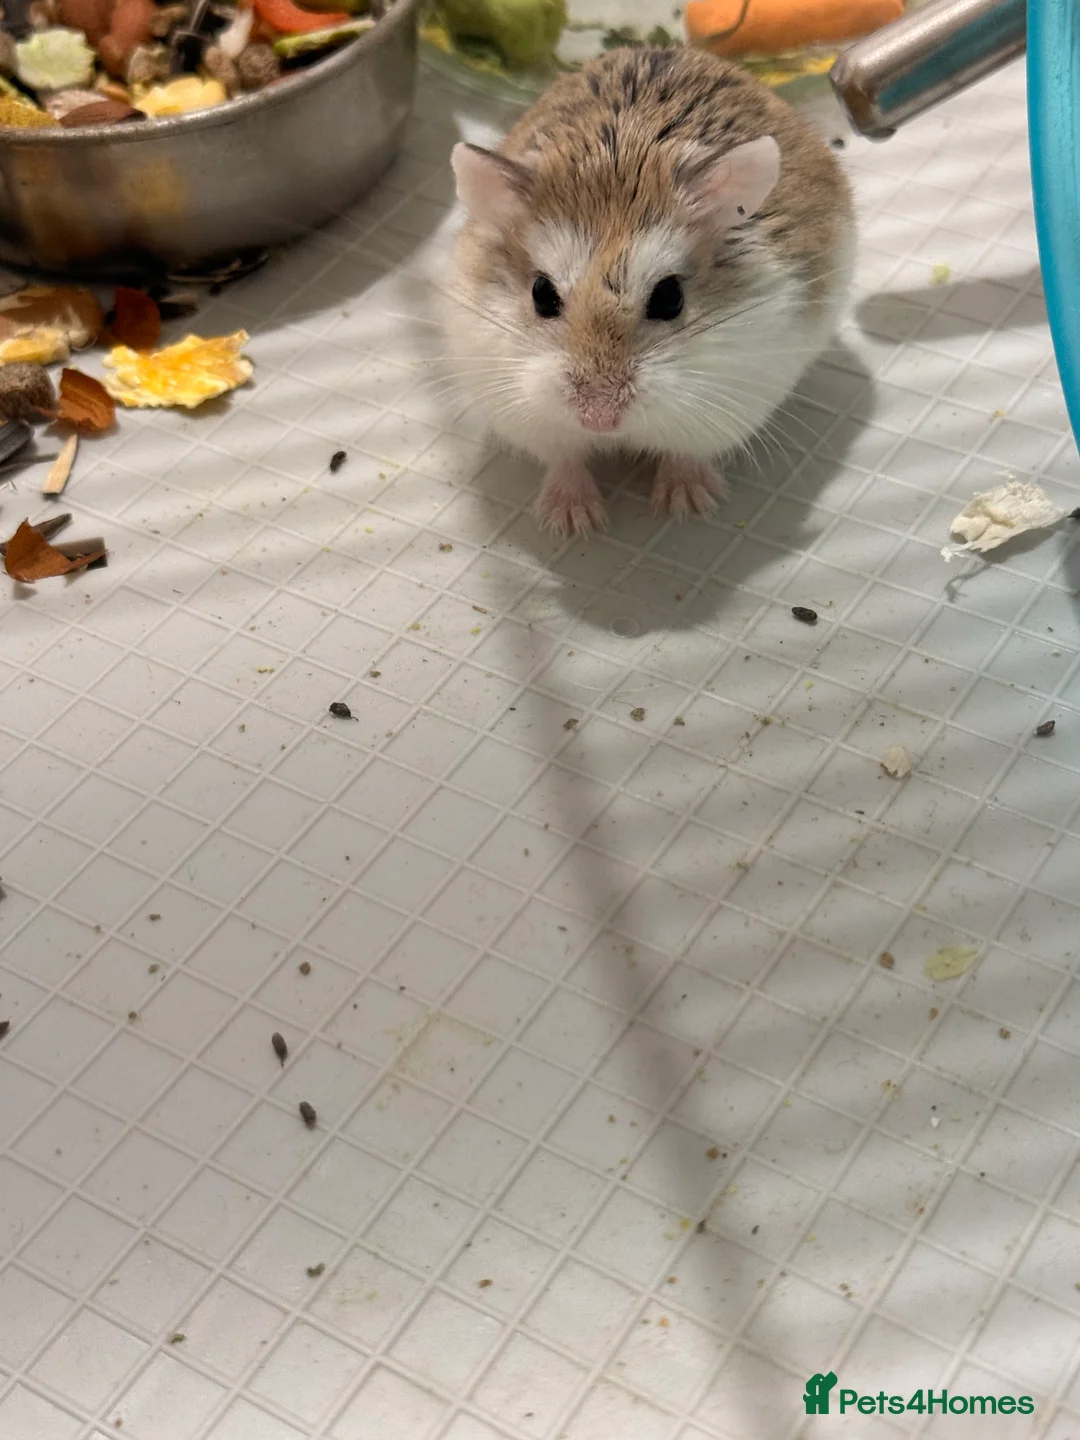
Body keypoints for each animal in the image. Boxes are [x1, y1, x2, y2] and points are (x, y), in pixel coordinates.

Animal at [444, 45, 855, 538]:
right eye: (541, 294)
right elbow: (565, 462)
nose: (599, 419)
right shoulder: (528, 414)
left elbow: (685, 457)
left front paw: (687, 506)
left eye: (670, 298)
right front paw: (573, 524)